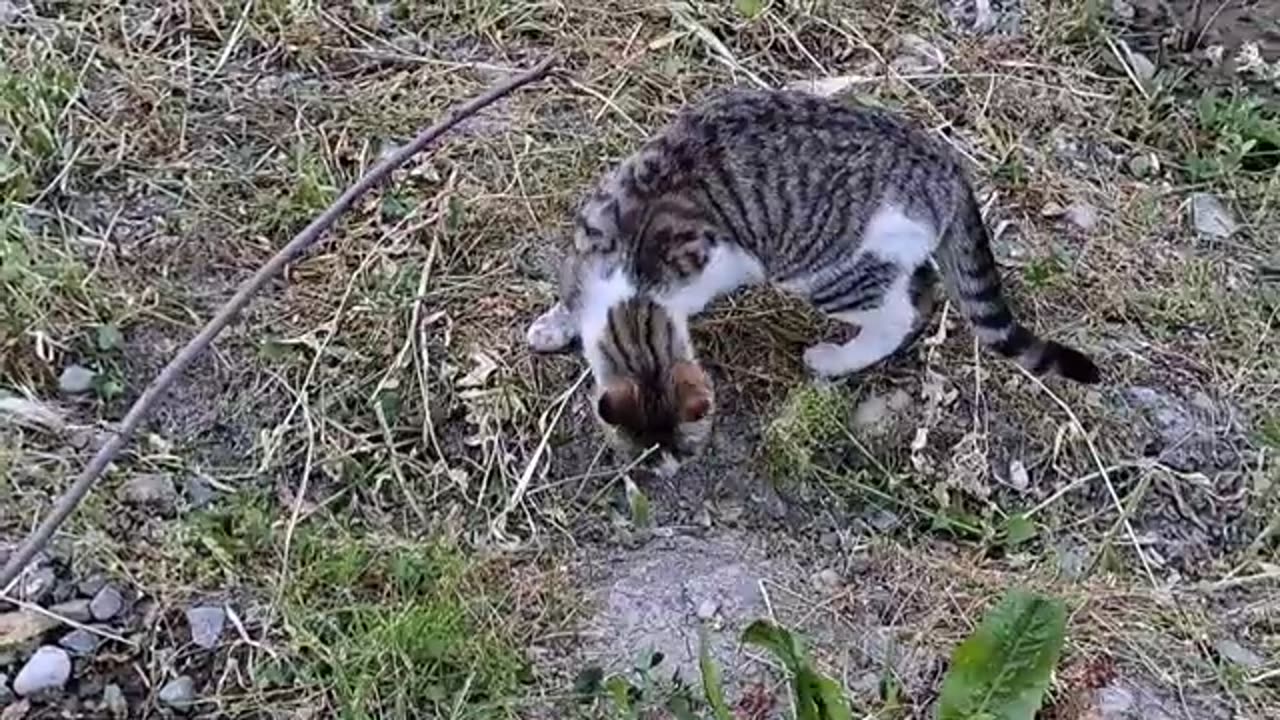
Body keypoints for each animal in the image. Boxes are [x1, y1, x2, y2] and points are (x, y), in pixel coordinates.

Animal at [524, 87, 1095, 474]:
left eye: (680, 449)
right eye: (645, 454)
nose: (667, 473)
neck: (632, 292)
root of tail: (944, 164)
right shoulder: (584, 251)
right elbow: (569, 304)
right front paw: (554, 327)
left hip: (827, 270)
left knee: (901, 314)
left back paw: (835, 359)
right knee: (924, 287)